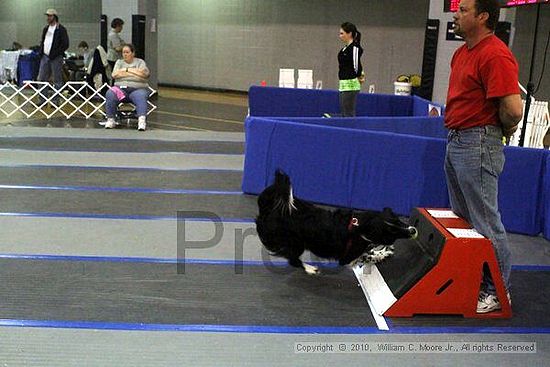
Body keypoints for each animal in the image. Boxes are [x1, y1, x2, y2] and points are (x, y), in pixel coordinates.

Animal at [256, 171, 418, 274]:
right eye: (390, 233)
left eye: (398, 220)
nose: (413, 231)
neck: (361, 227)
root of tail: (267, 209)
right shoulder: (347, 258)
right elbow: (367, 256)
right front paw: (383, 254)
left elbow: (370, 251)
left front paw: (383, 250)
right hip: (295, 243)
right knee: (293, 260)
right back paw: (310, 269)